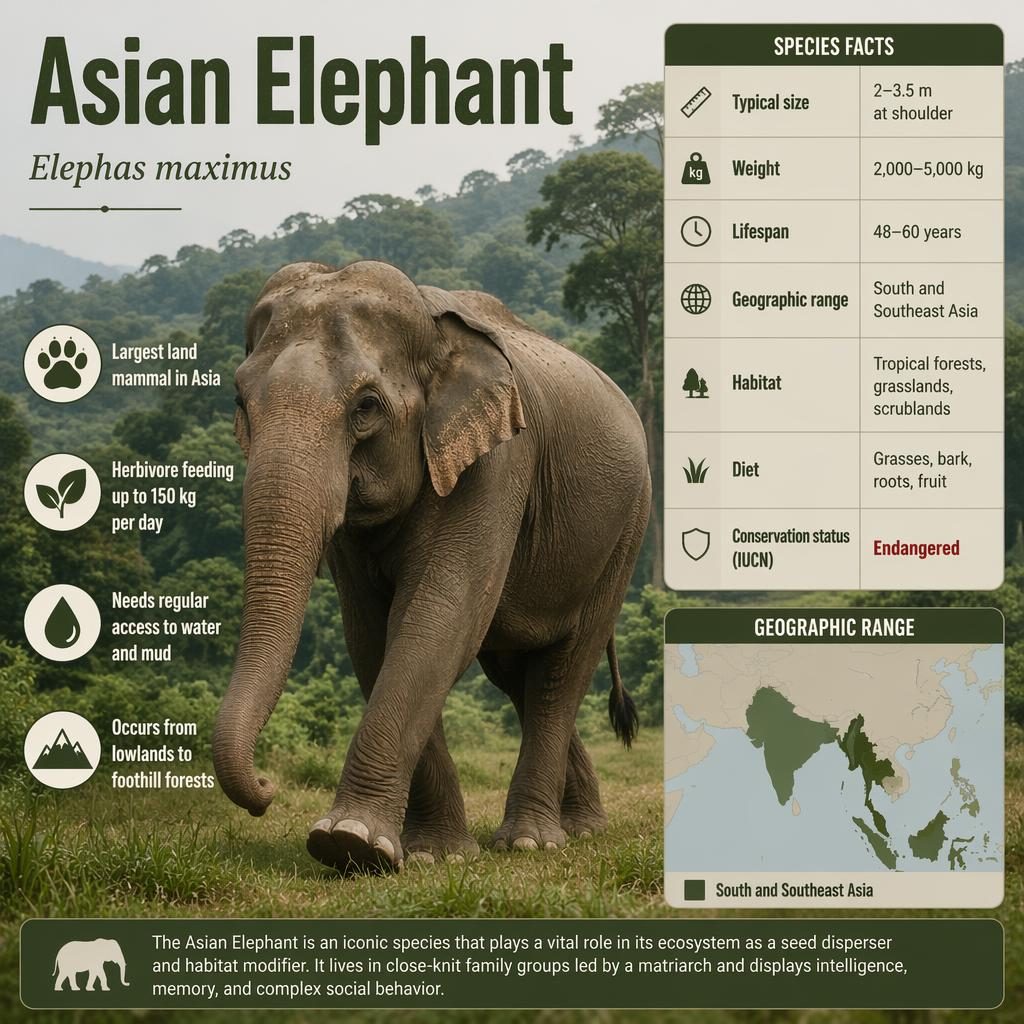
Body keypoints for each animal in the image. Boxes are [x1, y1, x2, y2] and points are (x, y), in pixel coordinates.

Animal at [212, 259, 651, 873]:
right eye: (239, 400)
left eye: (366, 406)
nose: (267, 789)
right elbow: (372, 634)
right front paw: (429, 855)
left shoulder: (498, 462)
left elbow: (438, 617)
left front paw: (348, 841)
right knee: (517, 673)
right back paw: (580, 828)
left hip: (627, 530)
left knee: (561, 670)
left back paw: (532, 841)